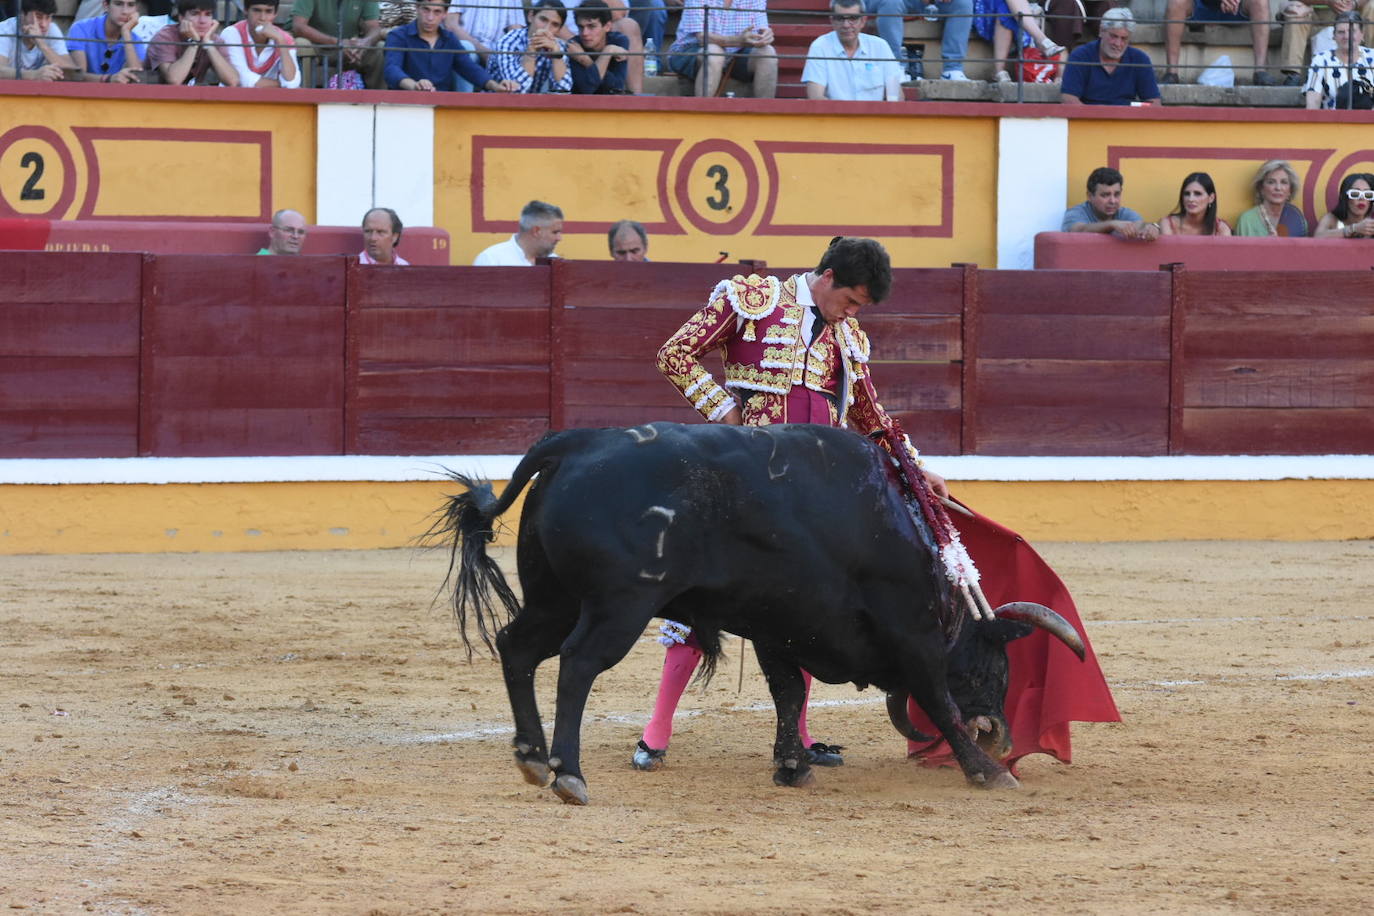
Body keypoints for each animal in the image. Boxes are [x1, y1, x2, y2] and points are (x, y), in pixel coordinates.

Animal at [428, 420, 1082, 802]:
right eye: (994, 665)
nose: (999, 733)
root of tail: (574, 443)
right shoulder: (912, 635)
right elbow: (940, 702)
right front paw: (987, 771)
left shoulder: (781, 627)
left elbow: (788, 693)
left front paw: (792, 765)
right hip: (618, 605)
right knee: (578, 663)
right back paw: (569, 773)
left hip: (554, 597)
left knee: (517, 647)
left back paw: (532, 757)